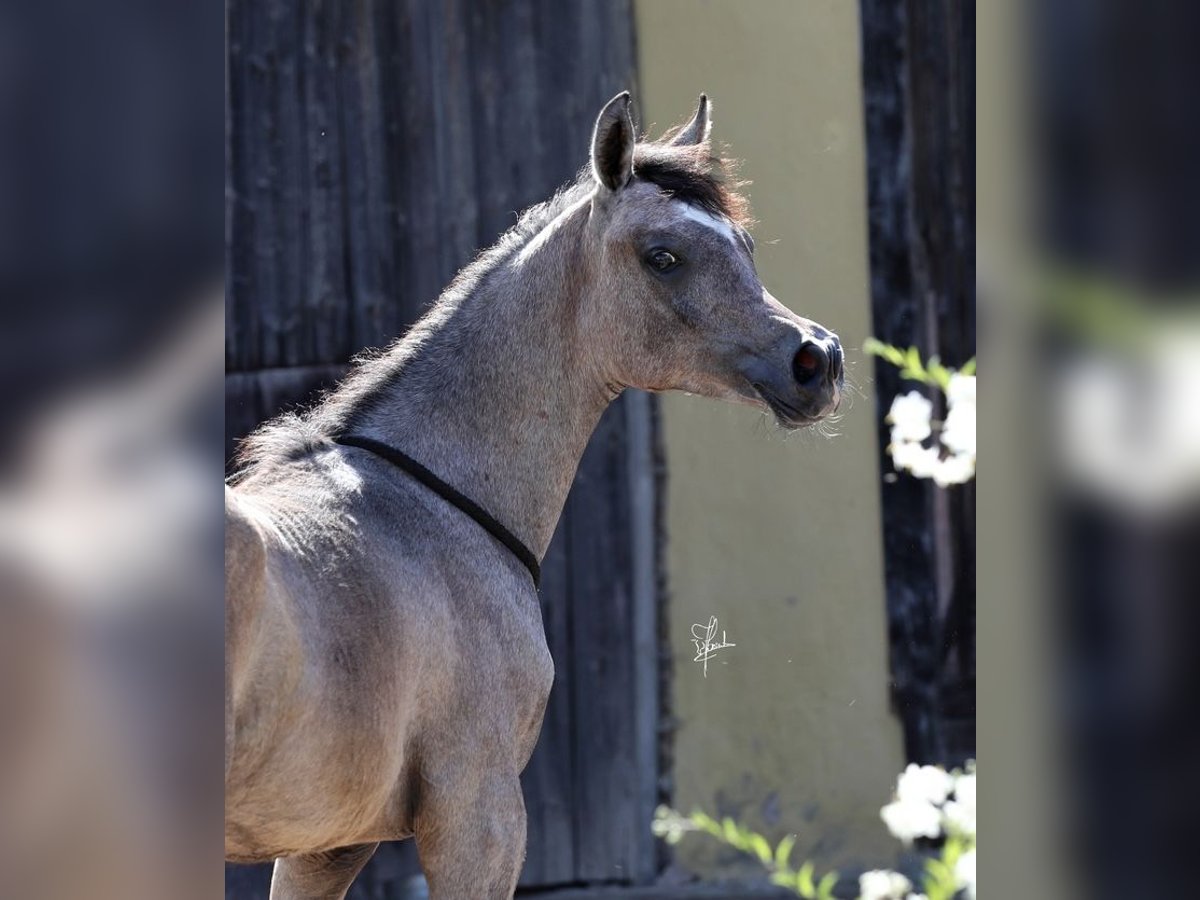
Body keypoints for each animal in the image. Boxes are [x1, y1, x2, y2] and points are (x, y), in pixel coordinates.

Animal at [225, 93, 844, 900]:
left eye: (743, 243)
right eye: (663, 255)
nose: (818, 360)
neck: (427, 512)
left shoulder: (323, 846)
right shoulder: (478, 819)